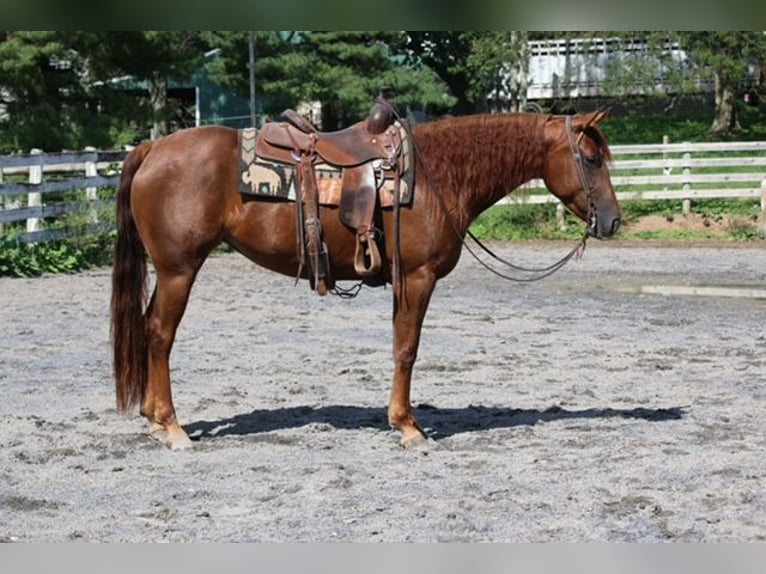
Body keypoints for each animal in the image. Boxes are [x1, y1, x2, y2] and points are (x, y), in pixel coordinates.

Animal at [111, 108, 621, 450]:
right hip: (179, 270)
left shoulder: (402, 281)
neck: (439, 175)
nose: (613, 221)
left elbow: (399, 346)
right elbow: (407, 349)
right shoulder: (418, 277)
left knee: (150, 328)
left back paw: (154, 419)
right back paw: (172, 427)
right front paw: (408, 427)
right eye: (591, 159)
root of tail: (152, 149)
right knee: (160, 334)